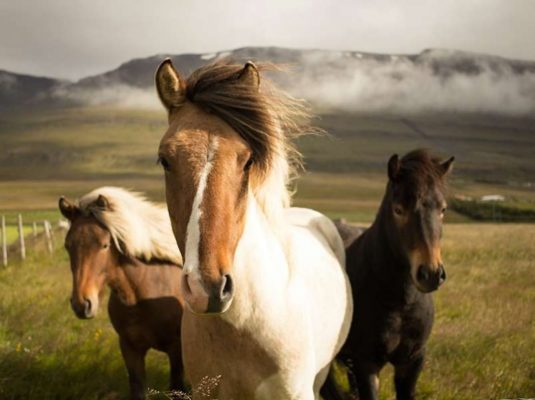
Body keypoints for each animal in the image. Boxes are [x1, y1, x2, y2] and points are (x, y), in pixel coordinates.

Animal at [59, 188, 186, 400]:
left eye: (104, 245)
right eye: (68, 245)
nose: (82, 304)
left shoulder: (176, 350)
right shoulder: (130, 349)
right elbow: (138, 388)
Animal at [328, 150, 454, 400]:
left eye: (443, 209)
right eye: (398, 209)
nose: (431, 274)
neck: (400, 302)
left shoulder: (412, 361)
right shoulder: (366, 363)